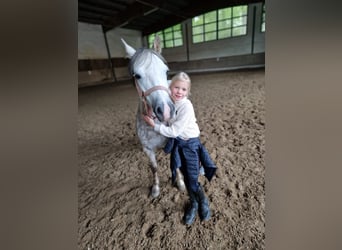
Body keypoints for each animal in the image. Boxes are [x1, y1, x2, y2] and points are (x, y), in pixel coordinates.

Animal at [121, 36, 186, 198]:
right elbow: (154, 168)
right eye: (137, 76)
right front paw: (155, 189)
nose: (166, 111)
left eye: (166, 71)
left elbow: (176, 164)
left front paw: (180, 183)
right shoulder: (148, 150)